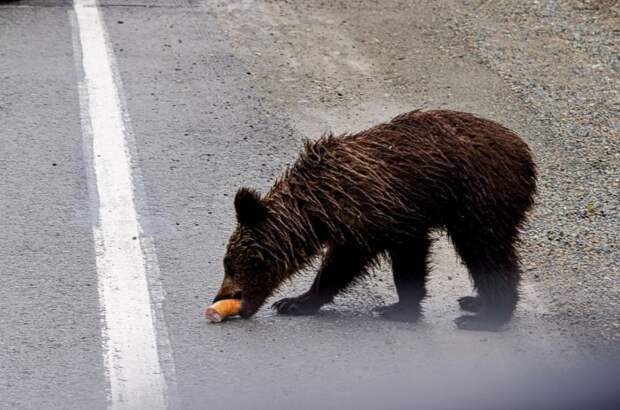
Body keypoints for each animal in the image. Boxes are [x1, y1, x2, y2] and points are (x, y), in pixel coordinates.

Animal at [213, 110, 536, 332]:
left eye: (236, 264)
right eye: (227, 263)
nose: (225, 296)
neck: (316, 207)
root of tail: (524, 152)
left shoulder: (384, 211)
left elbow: (400, 258)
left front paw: (399, 308)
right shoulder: (357, 225)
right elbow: (341, 266)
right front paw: (295, 301)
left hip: (479, 198)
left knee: (486, 252)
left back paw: (488, 316)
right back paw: (475, 301)